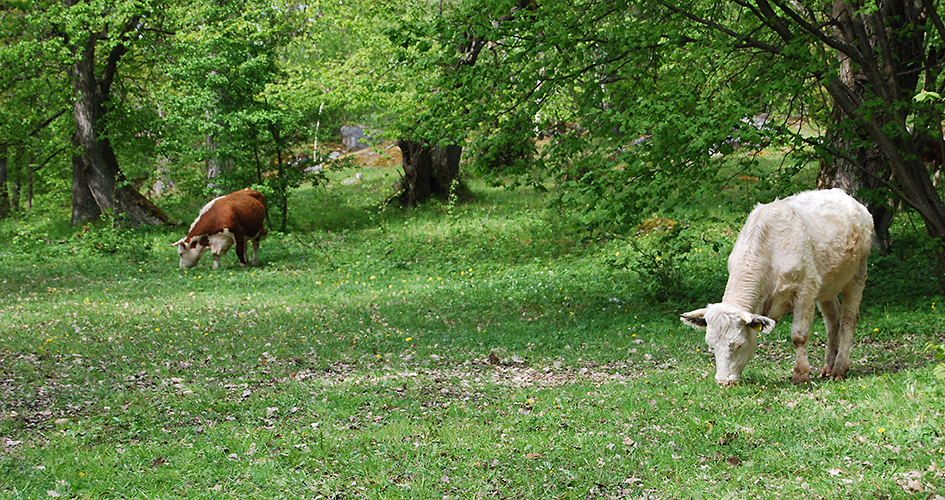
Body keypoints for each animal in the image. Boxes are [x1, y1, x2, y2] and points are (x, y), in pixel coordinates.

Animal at [680, 189, 872, 384]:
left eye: (739, 344)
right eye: (711, 345)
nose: (723, 382)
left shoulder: (806, 291)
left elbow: (799, 335)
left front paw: (800, 375)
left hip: (857, 274)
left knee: (848, 319)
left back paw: (839, 368)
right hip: (827, 287)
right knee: (833, 319)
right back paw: (827, 368)